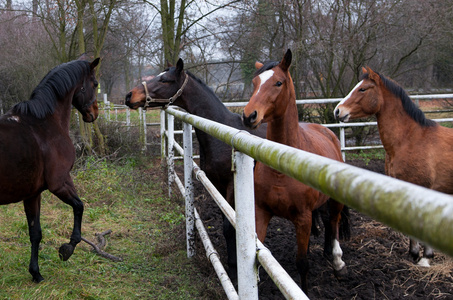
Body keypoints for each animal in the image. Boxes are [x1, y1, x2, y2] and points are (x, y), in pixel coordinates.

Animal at [0, 56, 99, 284]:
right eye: (95, 84)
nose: (94, 113)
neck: (45, 124)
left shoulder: (32, 194)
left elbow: (35, 233)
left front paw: (35, 273)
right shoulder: (59, 183)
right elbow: (79, 206)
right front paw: (67, 249)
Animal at [242, 48, 348, 290]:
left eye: (278, 82)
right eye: (254, 83)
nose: (249, 115)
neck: (281, 168)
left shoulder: (303, 218)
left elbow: (302, 263)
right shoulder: (261, 213)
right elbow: (260, 255)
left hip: (334, 202)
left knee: (334, 222)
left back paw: (338, 262)